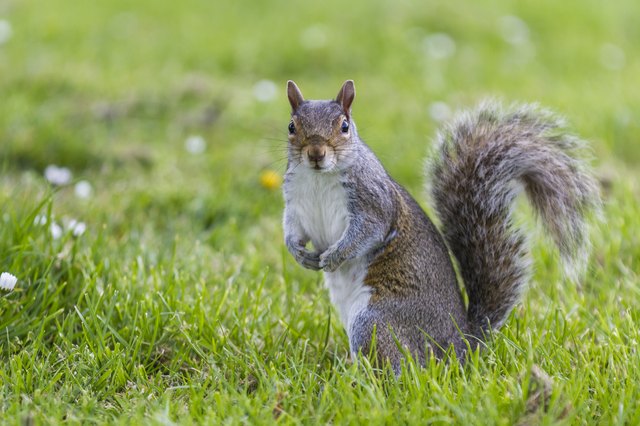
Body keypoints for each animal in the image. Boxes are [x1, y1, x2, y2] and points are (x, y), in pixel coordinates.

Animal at [280, 80, 600, 372]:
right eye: (292, 126)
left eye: (344, 126)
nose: (316, 154)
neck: (318, 178)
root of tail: (461, 345)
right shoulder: (295, 206)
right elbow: (293, 231)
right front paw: (300, 255)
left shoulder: (374, 202)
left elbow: (367, 232)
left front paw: (335, 255)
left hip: (375, 320)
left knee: (402, 367)